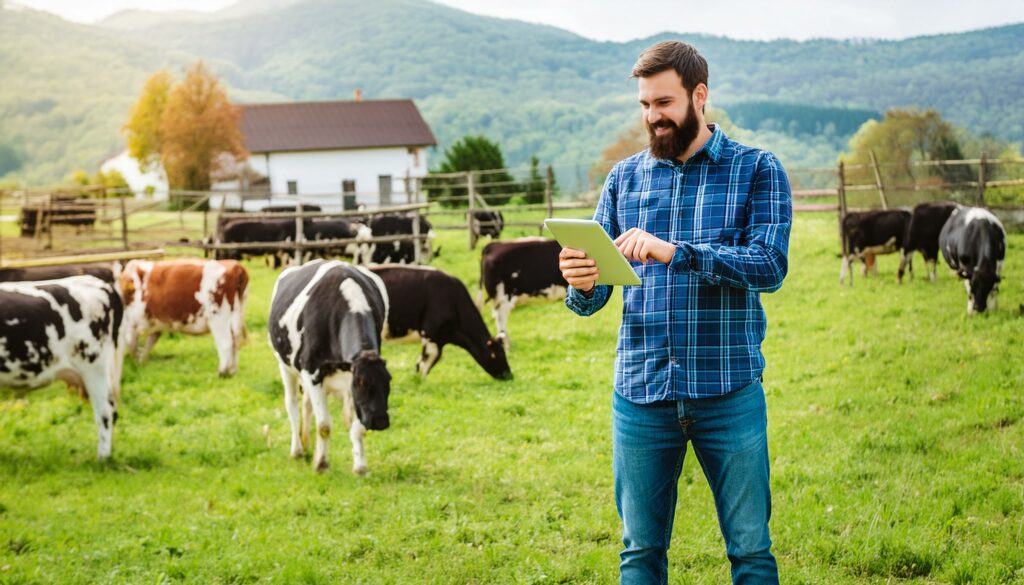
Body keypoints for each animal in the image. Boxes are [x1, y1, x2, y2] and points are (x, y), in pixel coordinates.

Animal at [117, 260, 247, 377]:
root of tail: (234, 266)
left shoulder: (131, 324)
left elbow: (131, 344)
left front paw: (136, 363)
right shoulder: (155, 325)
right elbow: (148, 344)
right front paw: (141, 363)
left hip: (218, 318)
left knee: (226, 342)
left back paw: (222, 372)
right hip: (236, 317)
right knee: (235, 342)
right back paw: (232, 371)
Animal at [268, 261, 391, 475]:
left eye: (388, 381)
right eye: (361, 383)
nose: (381, 421)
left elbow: (358, 428)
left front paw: (360, 466)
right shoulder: (311, 371)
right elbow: (324, 425)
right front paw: (322, 464)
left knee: (307, 404)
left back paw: (306, 444)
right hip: (285, 366)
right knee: (292, 404)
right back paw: (297, 450)